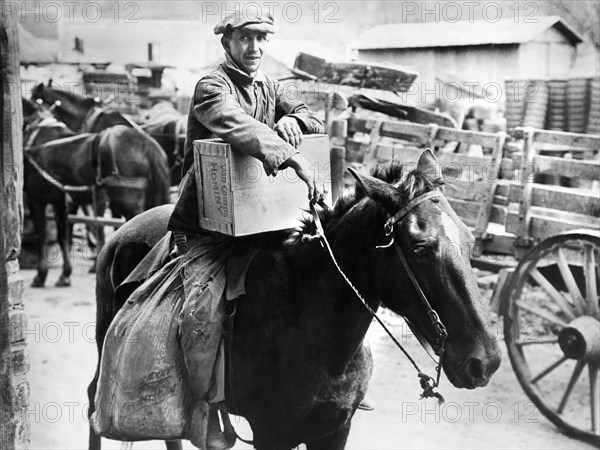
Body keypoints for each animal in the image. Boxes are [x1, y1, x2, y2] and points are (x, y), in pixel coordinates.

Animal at [21, 99, 171, 288]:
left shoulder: (37, 200)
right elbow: (64, 236)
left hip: (128, 201)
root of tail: (148, 146)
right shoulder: (62, 202)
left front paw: (41, 275)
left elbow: (42, 237)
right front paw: (65, 275)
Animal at [89, 149, 502, 448]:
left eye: (469, 240)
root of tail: (119, 234)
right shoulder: (273, 435)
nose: (486, 361)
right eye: (419, 247)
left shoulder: (334, 431)